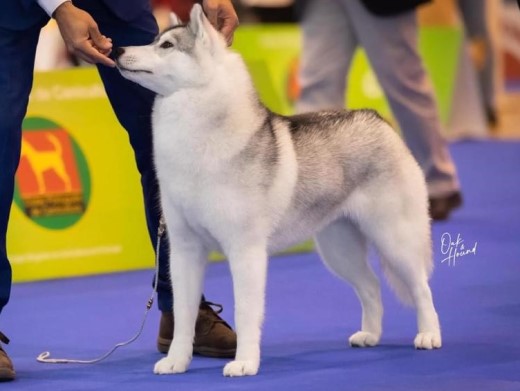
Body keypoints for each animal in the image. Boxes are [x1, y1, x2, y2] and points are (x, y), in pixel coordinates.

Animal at [116, 4, 440, 380]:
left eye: (166, 46)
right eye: (154, 40)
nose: (117, 49)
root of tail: (376, 118)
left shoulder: (246, 252)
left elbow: (245, 312)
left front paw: (244, 362)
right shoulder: (183, 250)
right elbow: (184, 314)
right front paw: (177, 360)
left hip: (395, 239)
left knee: (421, 287)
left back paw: (429, 335)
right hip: (338, 249)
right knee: (371, 288)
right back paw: (370, 335)